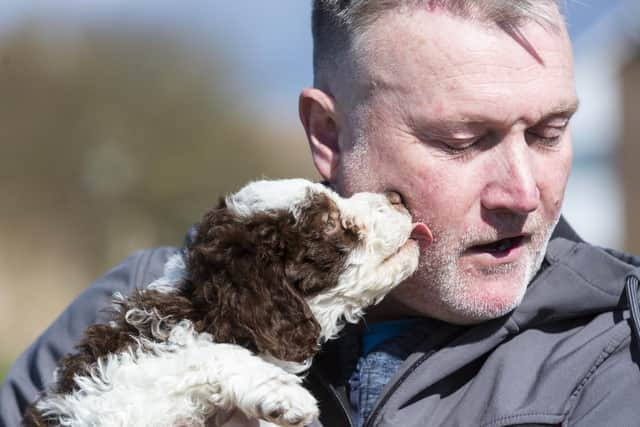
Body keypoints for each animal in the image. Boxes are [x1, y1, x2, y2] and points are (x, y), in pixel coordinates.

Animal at [23, 180, 430, 427]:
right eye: (329, 222)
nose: (397, 198)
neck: (202, 310)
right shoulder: (114, 395)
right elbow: (208, 353)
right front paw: (284, 394)